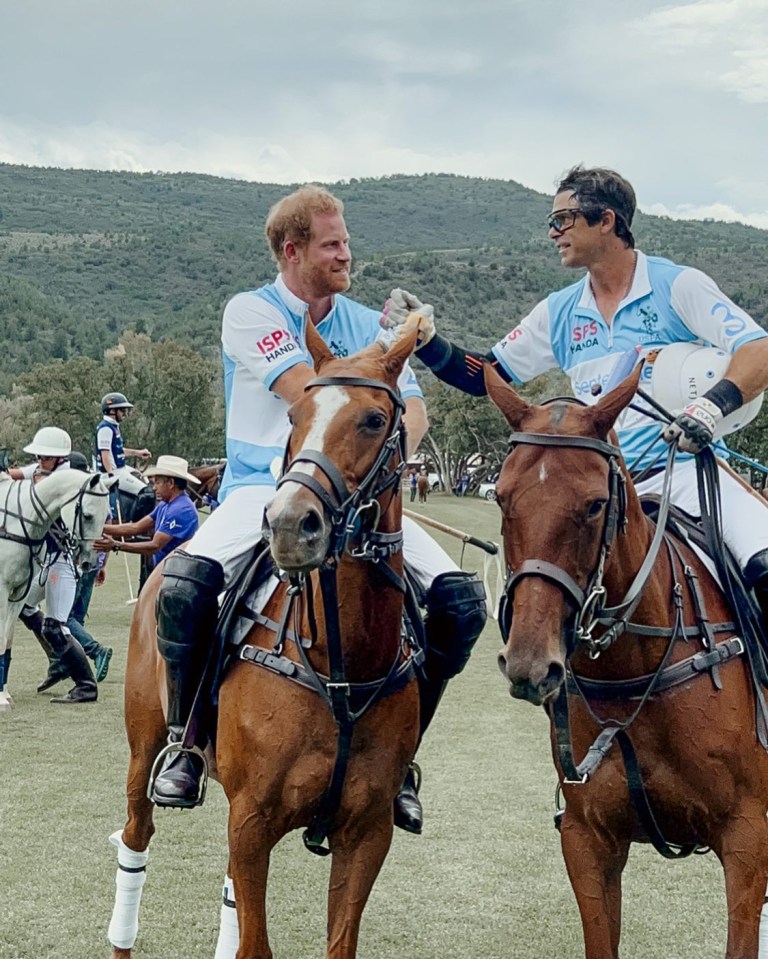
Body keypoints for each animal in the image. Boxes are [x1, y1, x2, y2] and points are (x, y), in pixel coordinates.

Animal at [0, 468, 115, 708]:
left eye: (107, 516)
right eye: (87, 515)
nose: (89, 562)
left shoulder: (19, 592)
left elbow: (6, 640)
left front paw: (3, 694)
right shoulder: (2, 588)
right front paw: (1, 699)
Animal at [106, 318, 420, 956]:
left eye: (374, 420)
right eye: (294, 416)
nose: (289, 524)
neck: (340, 667)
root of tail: (168, 557)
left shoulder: (367, 831)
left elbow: (336, 941)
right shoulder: (251, 819)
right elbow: (257, 943)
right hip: (144, 745)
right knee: (134, 835)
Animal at [484, 364, 768, 959]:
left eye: (595, 504)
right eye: (500, 497)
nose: (530, 666)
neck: (635, 674)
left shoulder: (747, 837)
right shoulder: (588, 839)